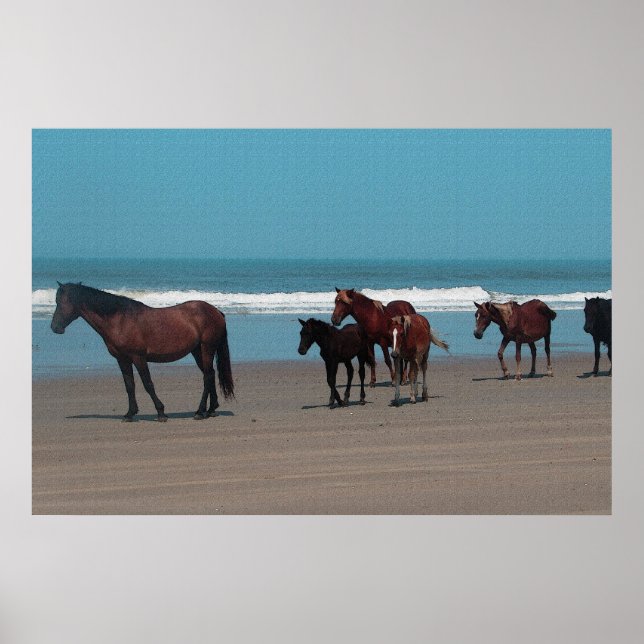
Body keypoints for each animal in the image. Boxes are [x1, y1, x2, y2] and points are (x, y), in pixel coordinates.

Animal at [51, 282, 234, 421]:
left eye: (61, 302)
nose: (55, 328)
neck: (120, 320)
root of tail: (215, 311)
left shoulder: (138, 357)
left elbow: (148, 384)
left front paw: (161, 413)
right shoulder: (122, 359)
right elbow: (129, 385)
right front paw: (129, 414)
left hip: (206, 348)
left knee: (207, 376)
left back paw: (199, 412)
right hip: (197, 351)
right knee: (210, 374)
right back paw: (211, 409)